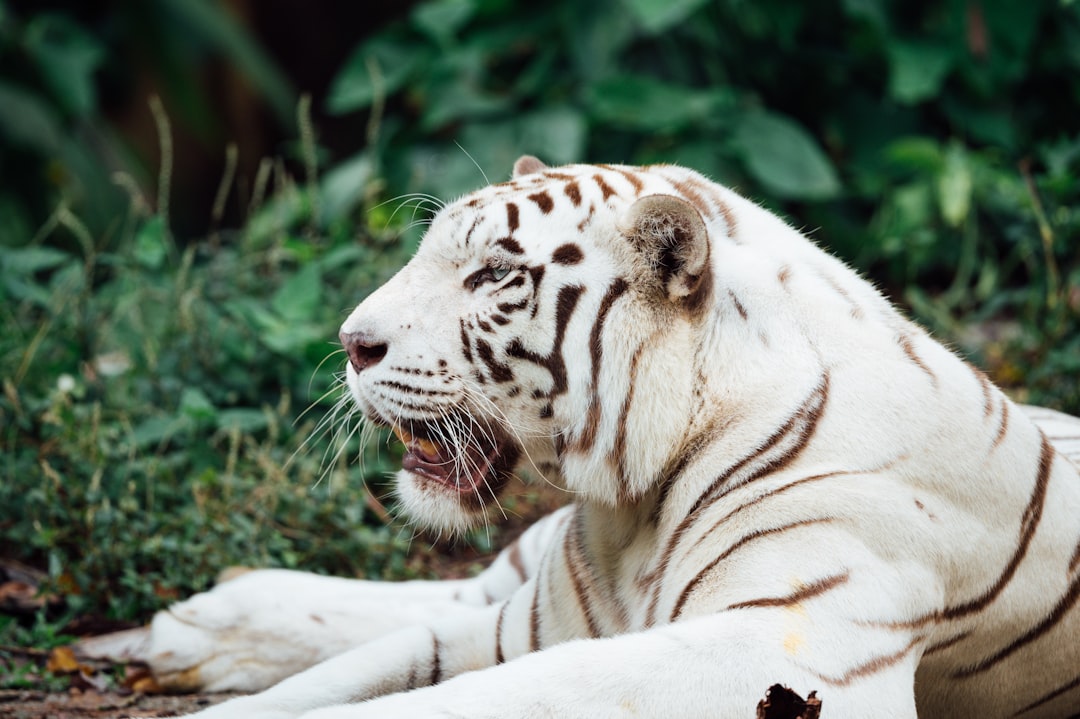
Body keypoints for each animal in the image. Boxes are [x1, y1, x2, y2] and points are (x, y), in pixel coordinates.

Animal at [135, 158, 1080, 716]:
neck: (632, 511)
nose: (350, 341)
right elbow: (364, 668)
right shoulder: (534, 623)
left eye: (493, 274)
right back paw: (200, 625)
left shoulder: (790, 649)